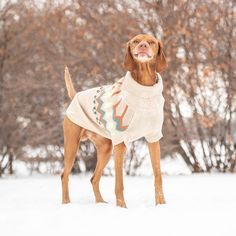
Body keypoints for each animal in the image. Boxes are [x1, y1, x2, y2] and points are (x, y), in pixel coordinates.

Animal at [61, 34, 167, 207]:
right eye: (136, 41)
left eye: (151, 42)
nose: (143, 46)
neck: (144, 91)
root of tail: (75, 96)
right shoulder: (120, 142)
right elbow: (119, 182)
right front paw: (122, 207)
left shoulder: (153, 138)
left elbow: (158, 176)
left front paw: (161, 205)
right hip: (71, 145)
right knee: (64, 175)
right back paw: (66, 203)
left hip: (105, 149)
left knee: (94, 178)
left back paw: (100, 203)